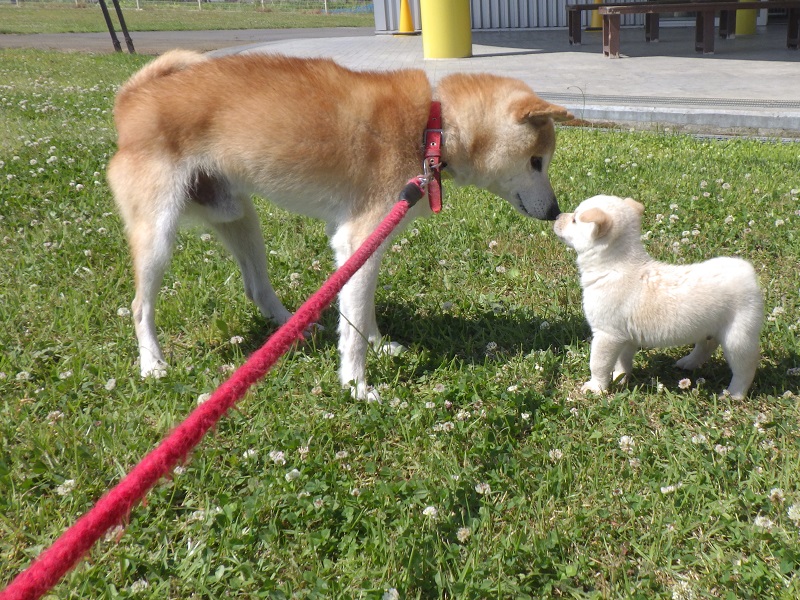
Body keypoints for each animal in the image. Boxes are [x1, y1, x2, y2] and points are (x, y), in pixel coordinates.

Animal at [109, 50, 572, 398]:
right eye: (537, 161)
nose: (554, 212)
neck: (433, 127)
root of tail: (132, 99)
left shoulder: (363, 243)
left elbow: (359, 313)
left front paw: (379, 346)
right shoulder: (359, 237)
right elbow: (353, 325)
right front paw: (356, 385)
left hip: (236, 214)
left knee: (257, 287)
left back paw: (295, 329)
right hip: (158, 235)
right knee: (139, 306)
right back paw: (153, 364)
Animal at [556, 196, 764, 398]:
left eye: (574, 219)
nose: (556, 216)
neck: (615, 265)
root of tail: (747, 271)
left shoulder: (607, 334)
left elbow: (598, 364)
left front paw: (596, 387)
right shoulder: (625, 337)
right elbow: (622, 361)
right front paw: (620, 378)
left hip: (738, 337)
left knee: (745, 369)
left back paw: (733, 395)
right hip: (712, 327)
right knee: (707, 345)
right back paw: (688, 362)